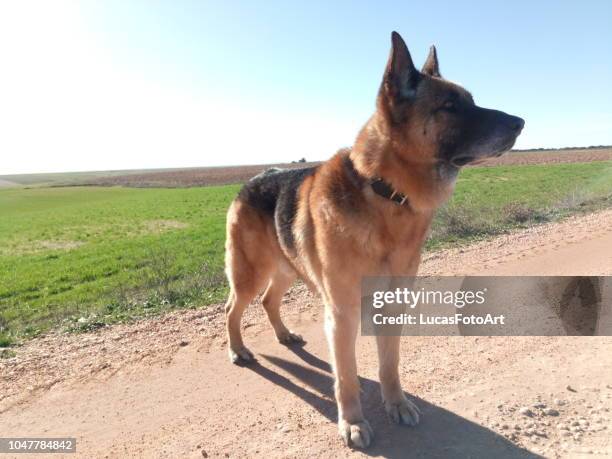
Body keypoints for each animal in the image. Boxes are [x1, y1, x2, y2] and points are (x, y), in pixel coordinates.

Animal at [225, 33, 524, 450]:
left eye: (471, 100)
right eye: (450, 106)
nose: (521, 123)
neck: (387, 193)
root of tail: (255, 178)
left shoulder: (392, 306)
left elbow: (389, 364)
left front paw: (396, 404)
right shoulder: (343, 314)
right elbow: (347, 375)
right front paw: (352, 422)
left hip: (285, 269)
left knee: (269, 302)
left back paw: (284, 335)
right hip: (250, 274)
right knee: (232, 310)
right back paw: (238, 350)